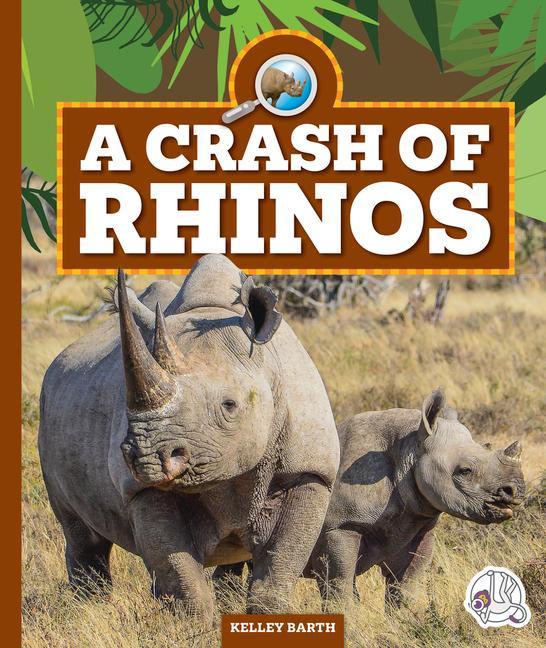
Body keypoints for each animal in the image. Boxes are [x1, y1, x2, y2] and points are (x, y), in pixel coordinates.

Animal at [39, 255, 339, 620]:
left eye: (229, 405)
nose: (148, 457)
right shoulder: (141, 489)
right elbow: (178, 570)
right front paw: (196, 626)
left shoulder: (309, 471)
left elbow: (279, 564)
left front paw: (265, 618)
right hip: (49, 408)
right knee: (81, 534)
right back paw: (89, 610)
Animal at [215, 389, 526, 608]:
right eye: (465, 471)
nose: (516, 492)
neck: (410, 448)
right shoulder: (341, 526)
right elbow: (340, 585)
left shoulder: (419, 524)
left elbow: (406, 588)